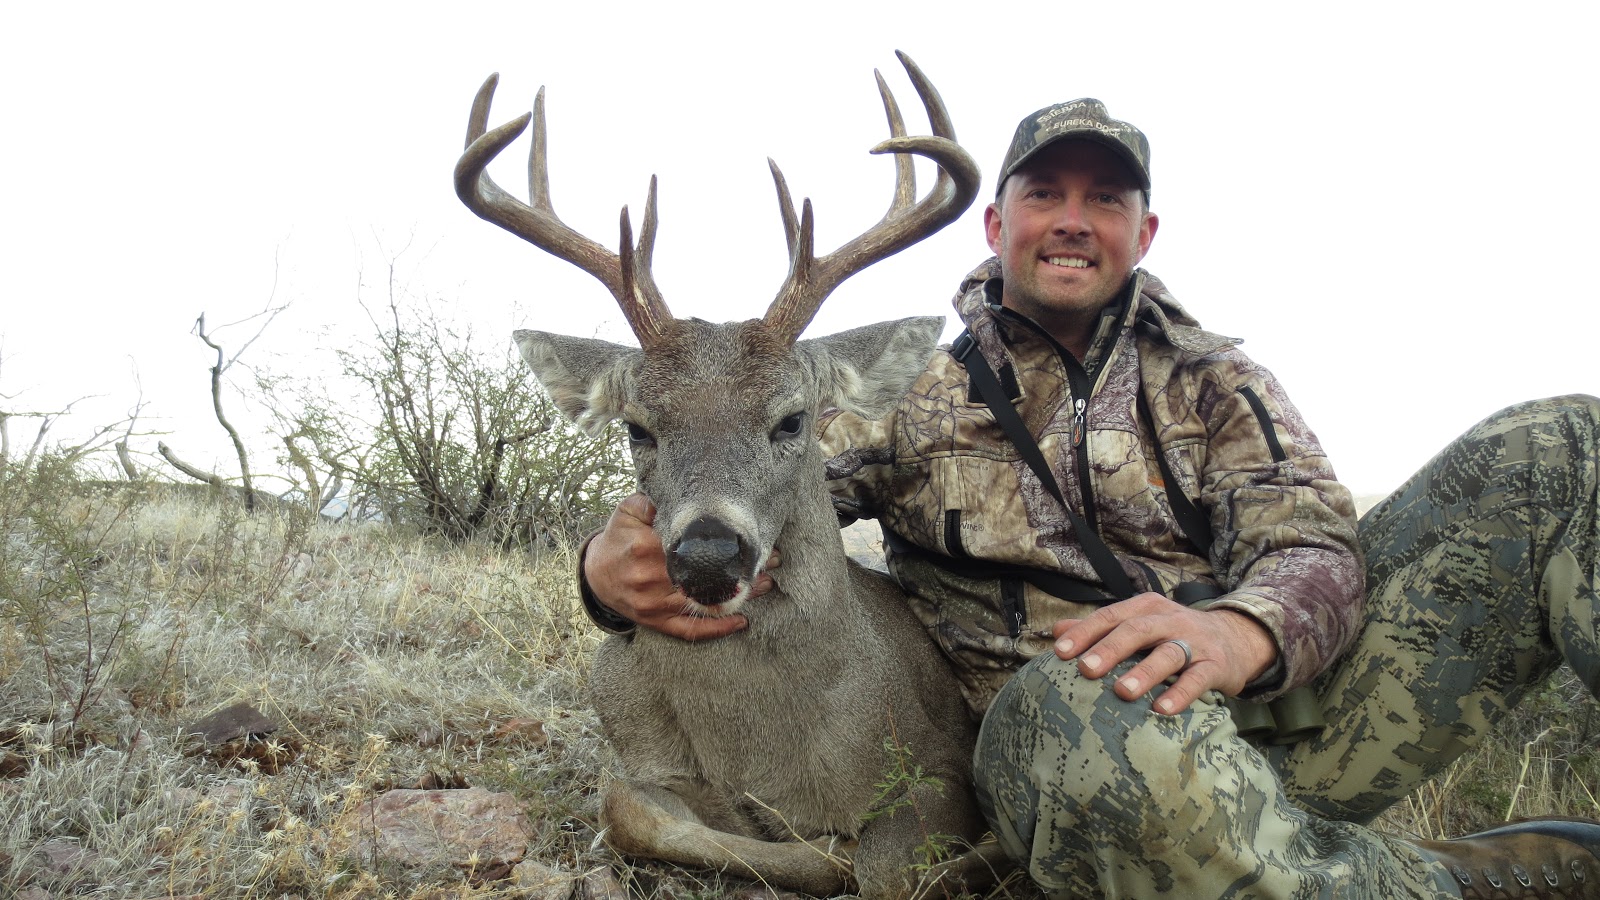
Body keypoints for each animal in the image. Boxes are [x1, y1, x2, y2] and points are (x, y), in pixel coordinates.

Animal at [455, 53, 1002, 898]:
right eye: (637, 426)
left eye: (793, 419)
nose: (708, 554)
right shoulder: (638, 755)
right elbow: (628, 808)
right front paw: (812, 843)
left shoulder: (943, 764)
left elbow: (884, 865)